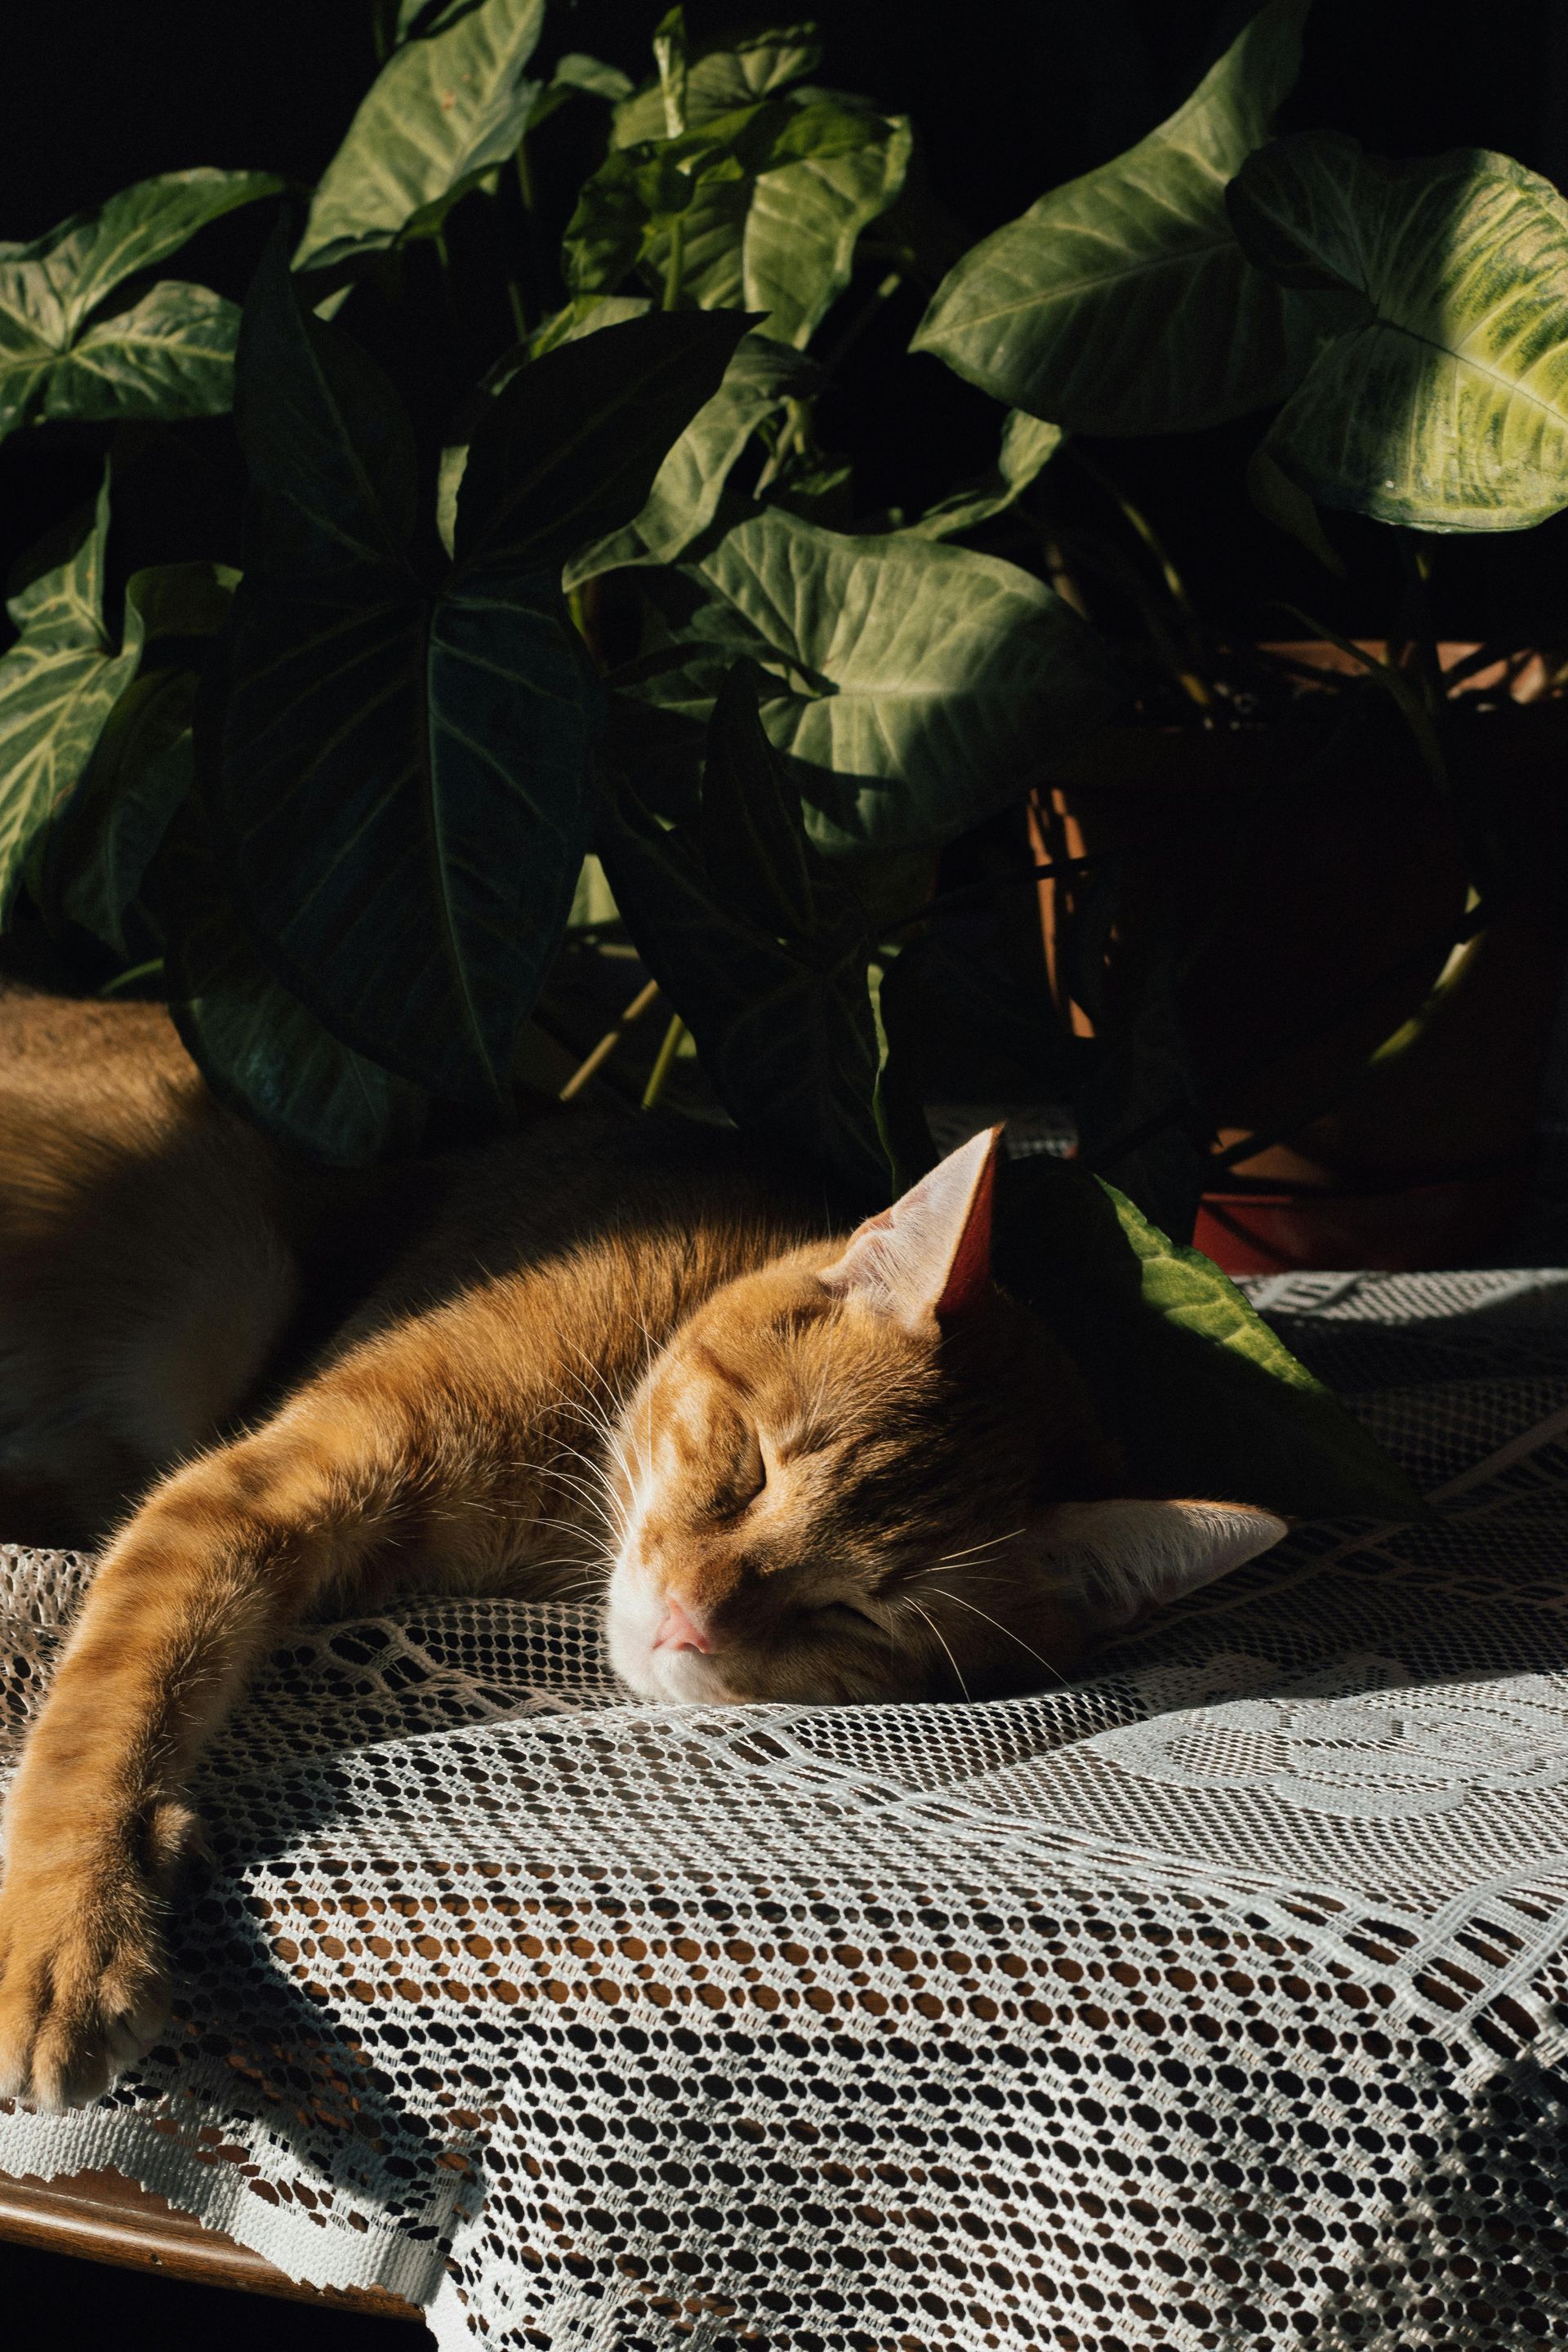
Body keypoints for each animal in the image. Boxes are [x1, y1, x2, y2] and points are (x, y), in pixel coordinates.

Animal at [0, 982, 1278, 2107]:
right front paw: (66, 1932)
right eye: (750, 1468)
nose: (690, 1618)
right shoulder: (250, 1492)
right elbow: (106, 1710)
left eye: (856, 1614)